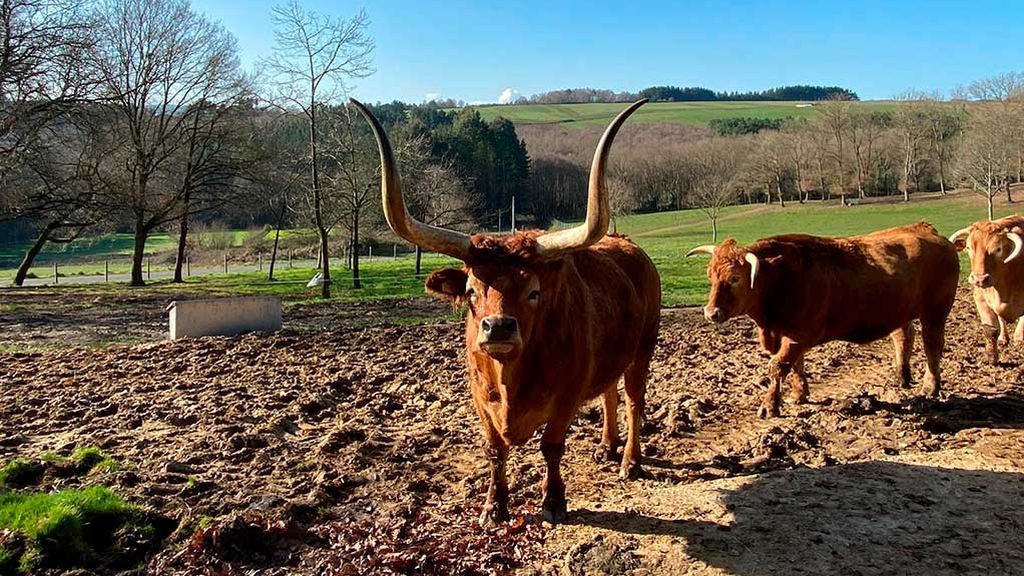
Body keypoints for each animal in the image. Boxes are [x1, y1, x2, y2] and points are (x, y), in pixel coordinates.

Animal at [348, 99, 659, 524]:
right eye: (471, 291)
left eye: (534, 292)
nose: (497, 328)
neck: (513, 377)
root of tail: (627, 245)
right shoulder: (480, 398)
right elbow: (494, 450)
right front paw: (494, 505)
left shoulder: (567, 396)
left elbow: (552, 447)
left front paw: (553, 502)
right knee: (610, 393)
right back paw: (606, 446)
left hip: (643, 350)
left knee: (632, 400)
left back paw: (630, 460)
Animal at [688, 220, 958, 416]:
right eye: (710, 275)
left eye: (735, 278)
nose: (711, 313)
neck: (781, 278)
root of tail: (925, 229)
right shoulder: (789, 335)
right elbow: (796, 365)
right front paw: (799, 394)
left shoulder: (798, 335)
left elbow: (778, 366)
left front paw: (770, 406)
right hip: (901, 311)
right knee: (903, 337)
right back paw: (901, 377)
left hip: (935, 312)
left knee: (932, 346)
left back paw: (930, 386)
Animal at [946, 213, 1024, 360]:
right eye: (969, 248)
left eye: (998, 249)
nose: (979, 279)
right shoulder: (981, 299)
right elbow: (990, 329)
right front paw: (991, 357)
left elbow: (1019, 335)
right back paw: (1003, 338)